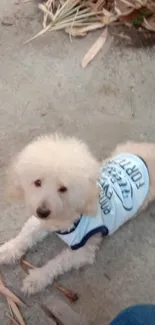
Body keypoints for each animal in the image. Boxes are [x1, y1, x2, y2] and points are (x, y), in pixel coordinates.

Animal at [0, 133, 155, 294]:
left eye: (63, 189)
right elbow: (26, 234)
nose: (42, 212)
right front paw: (9, 249)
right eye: (37, 182)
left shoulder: (83, 250)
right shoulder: (43, 222)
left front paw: (38, 278)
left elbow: (57, 263)